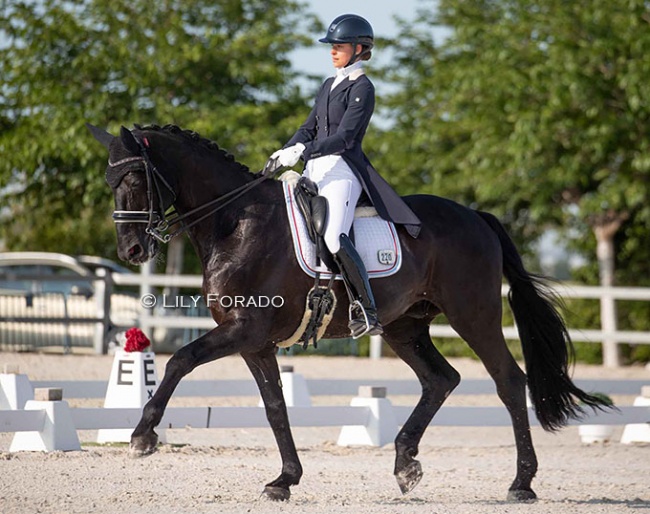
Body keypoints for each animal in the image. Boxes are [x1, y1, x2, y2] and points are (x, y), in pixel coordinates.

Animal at [87, 123, 608, 500]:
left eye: (134, 178)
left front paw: (142, 437)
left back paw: (521, 483)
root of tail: (475, 216)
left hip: (472, 316)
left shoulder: (243, 329)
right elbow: (275, 407)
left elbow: (179, 361)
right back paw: (406, 465)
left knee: (508, 381)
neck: (236, 223)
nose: (132, 250)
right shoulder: (255, 343)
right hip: (404, 326)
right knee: (441, 379)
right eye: (109, 182)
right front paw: (285, 479)